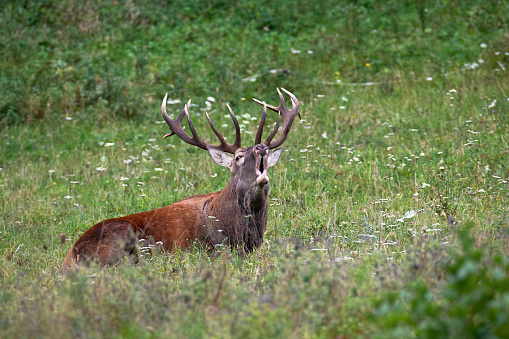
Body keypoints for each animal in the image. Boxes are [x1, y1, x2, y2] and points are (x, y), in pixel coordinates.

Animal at [64, 89, 302, 270]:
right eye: (238, 157)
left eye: (268, 155)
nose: (261, 148)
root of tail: (70, 258)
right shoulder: (185, 248)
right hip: (120, 235)